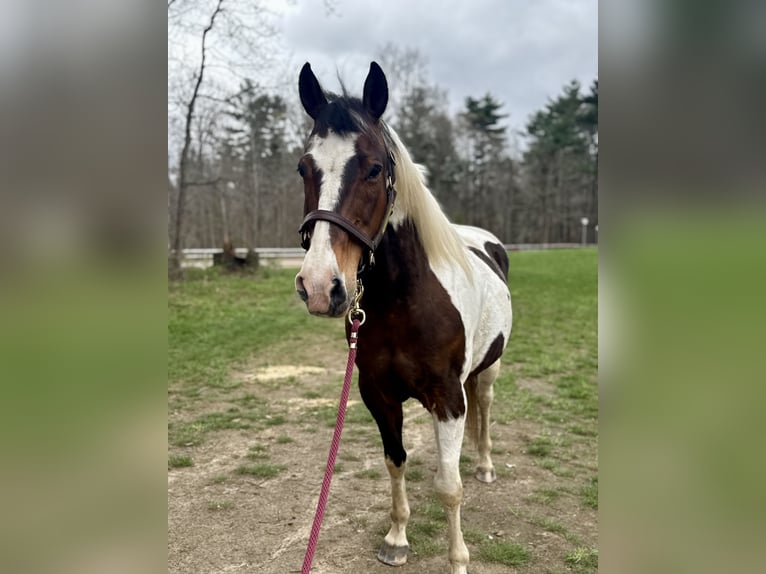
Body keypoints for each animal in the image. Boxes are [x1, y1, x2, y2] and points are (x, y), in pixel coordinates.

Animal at [294, 61, 513, 574]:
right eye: (303, 168)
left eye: (375, 168)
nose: (320, 287)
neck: (404, 302)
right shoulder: (379, 394)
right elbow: (396, 460)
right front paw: (396, 538)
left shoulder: (449, 398)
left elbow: (449, 488)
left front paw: (458, 561)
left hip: (489, 369)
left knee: (485, 407)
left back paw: (485, 465)